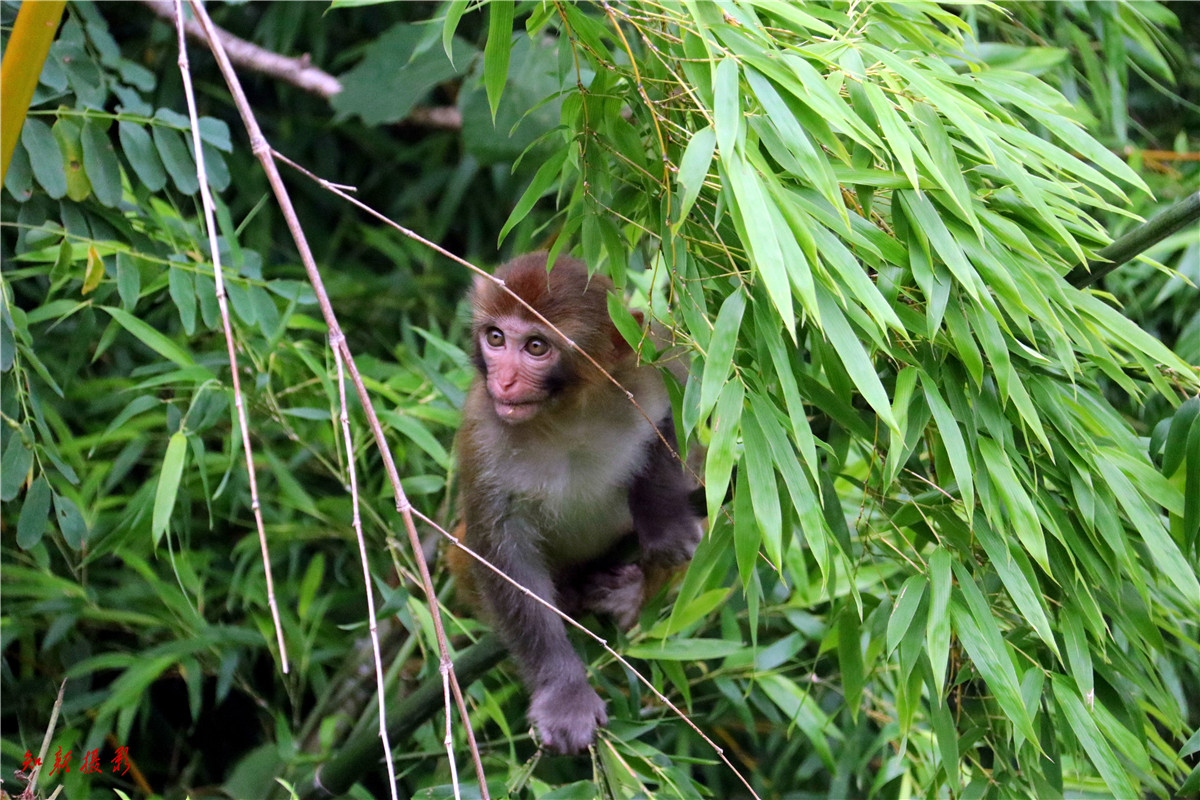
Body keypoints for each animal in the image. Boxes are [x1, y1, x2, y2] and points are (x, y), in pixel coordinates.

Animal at [451, 251, 700, 758]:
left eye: (536, 347)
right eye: (495, 338)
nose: (504, 380)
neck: (566, 415)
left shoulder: (647, 364)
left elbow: (682, 419)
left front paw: (664, 521)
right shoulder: (481, 429)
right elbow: (500, 554)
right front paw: (564, 697)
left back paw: (632, 592)